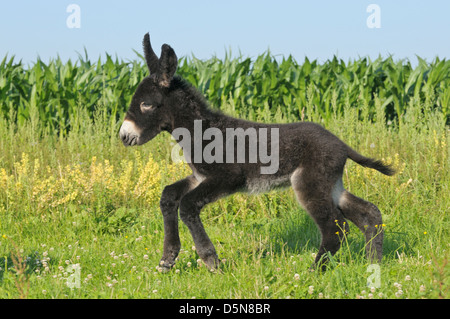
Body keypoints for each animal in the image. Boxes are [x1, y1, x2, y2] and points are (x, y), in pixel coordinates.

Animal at [118, 33, 394, 272]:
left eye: (146, 104)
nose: (124, 136)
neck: (203, 131)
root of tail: (342, 144)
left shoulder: (227, 178)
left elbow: (186, 206)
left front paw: (211, 261)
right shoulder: (200, 177)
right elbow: (168, 195)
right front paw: (167, 259)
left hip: (309, 184)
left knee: (336, 229)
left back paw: (314, 272)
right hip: (331, 185)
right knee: (369, 214)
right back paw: (373, 263)